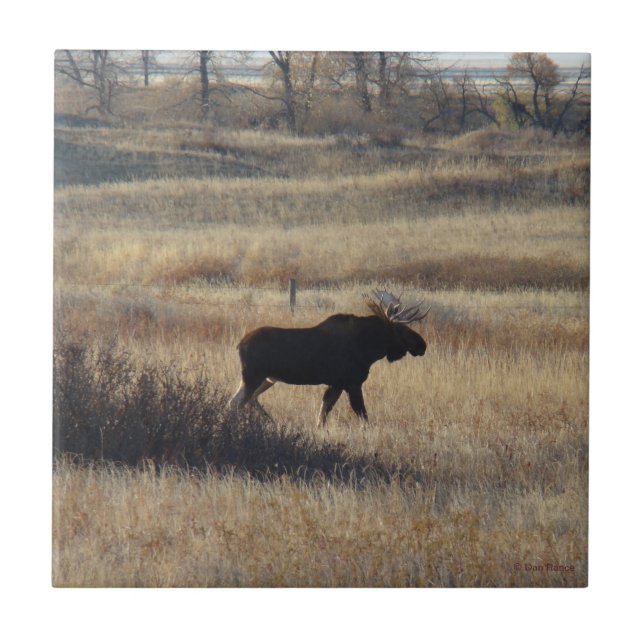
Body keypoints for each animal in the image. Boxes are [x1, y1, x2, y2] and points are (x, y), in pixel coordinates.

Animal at [229, 290, 430, 427]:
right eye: (401, 329)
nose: (422, 345)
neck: (369, 349)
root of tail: (239, 344)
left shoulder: (336, 384)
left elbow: (322, 415)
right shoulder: (352, 383)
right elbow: (363, 416)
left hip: (267, 378)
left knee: (248, 400)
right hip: (253, 376)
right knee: (235, 402)